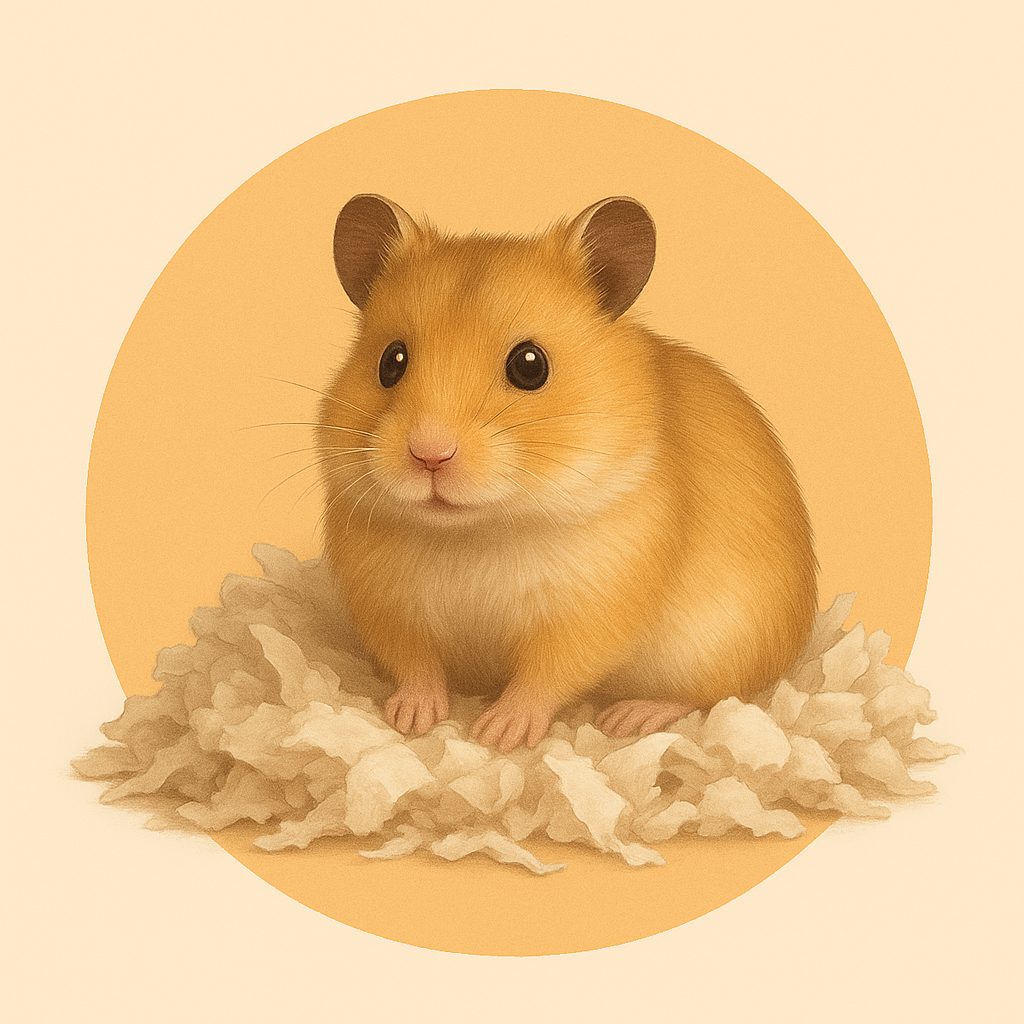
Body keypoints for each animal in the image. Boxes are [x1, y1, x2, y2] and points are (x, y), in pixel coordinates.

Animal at [316, 194, 817, 753]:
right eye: (391, 361)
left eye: (530, 365)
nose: (430, 455)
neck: (476, 531)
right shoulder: (388, 606)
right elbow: (415, 665)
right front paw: (410, 719)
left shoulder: (590, 609)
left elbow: (546, 676)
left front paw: (498, 734)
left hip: (719, 648)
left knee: (710, 695)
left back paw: (629, 717)